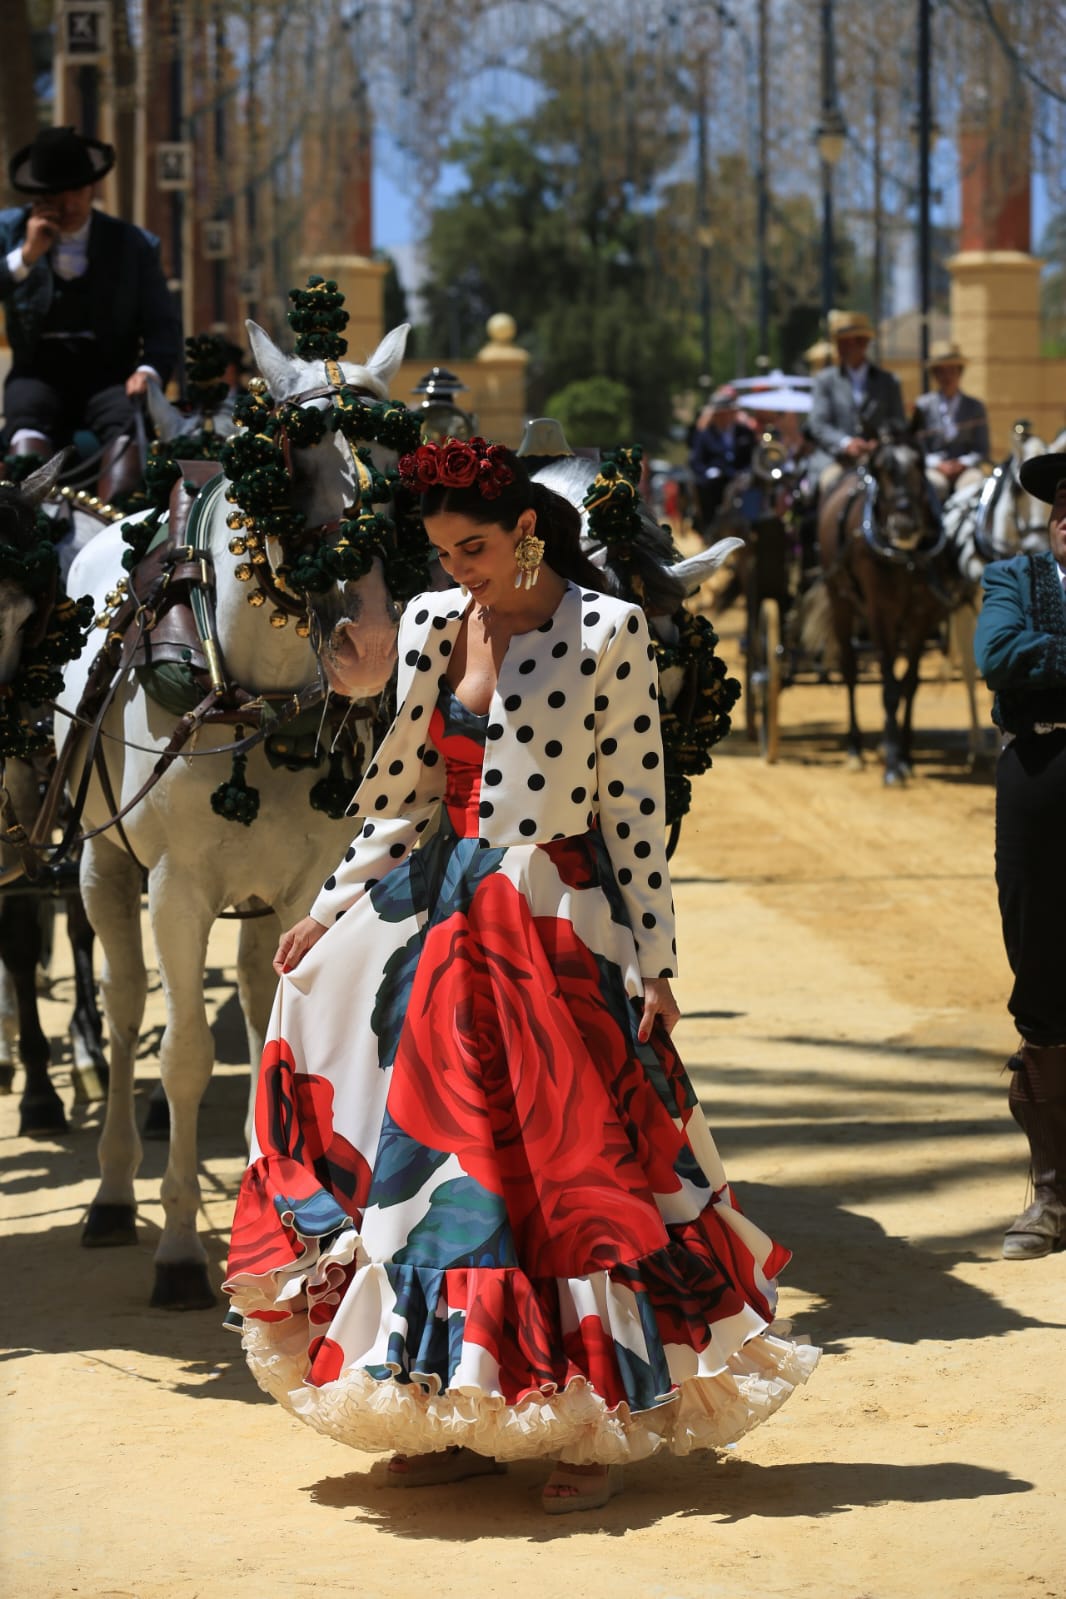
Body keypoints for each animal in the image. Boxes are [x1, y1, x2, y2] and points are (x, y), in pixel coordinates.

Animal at [54, 321, 415, 1311]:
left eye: (396, 464)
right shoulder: (177, 888)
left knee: (253, 996)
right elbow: (180, 1055)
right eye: (289, 461)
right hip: (105, 867)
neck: (256, 693)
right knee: (125, 1007)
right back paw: (112, 1191)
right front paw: (180, 1245)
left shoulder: (303, 883)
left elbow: (278, 1033)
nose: (370, 642)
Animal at [811, 438, 952, 786]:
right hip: (840, 600)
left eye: (920, 466)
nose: (904, 525)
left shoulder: (920, 616)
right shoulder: (880, 614)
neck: (904, 557)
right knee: (849, 669)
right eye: (880, 470)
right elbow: (889, 688)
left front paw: (905, 756)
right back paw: (855, 749)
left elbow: (910, 684)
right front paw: (891, 764)